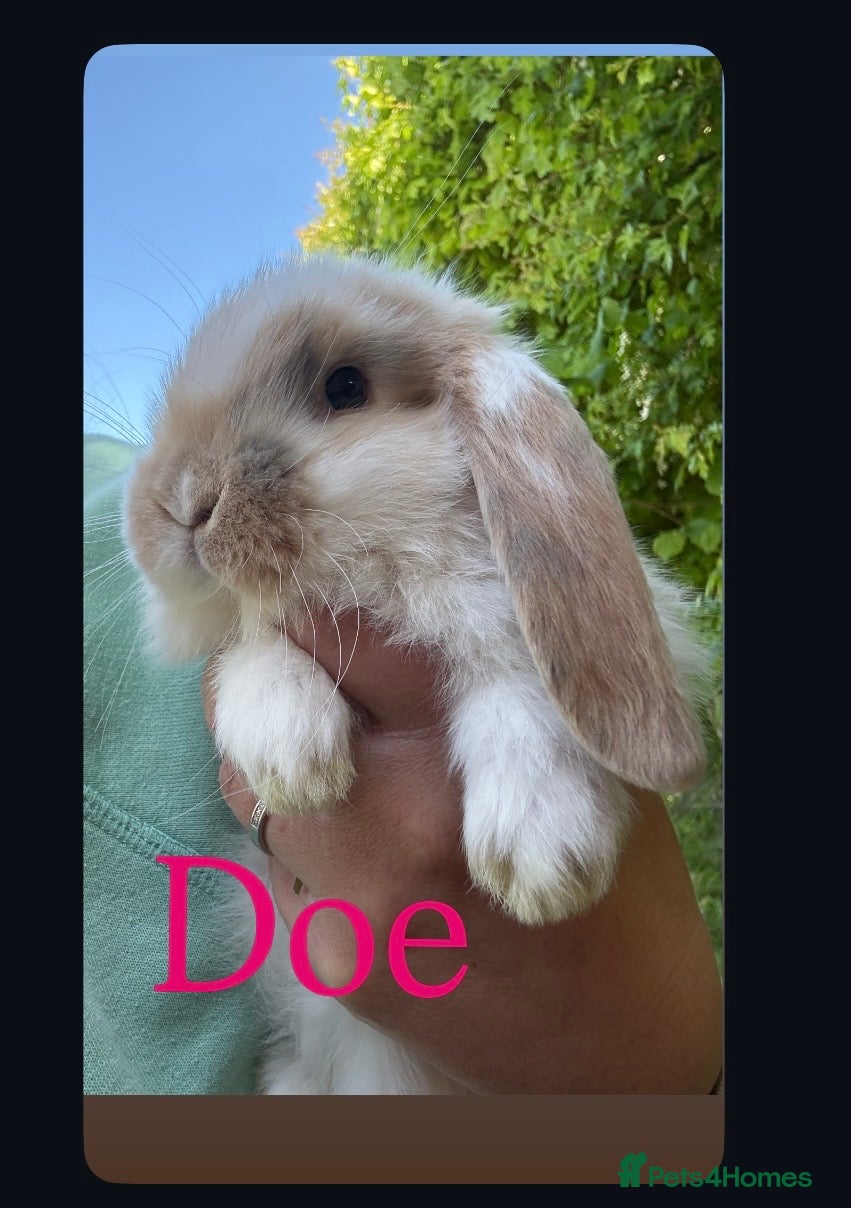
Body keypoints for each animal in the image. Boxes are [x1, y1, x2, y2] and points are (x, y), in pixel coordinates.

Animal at [124, 252, 708, 1094]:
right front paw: (292, 759)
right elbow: (256, 642)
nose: (183, 500)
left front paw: (541, 858)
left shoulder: (520, 622)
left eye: (345, 387)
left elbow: (516, 681)